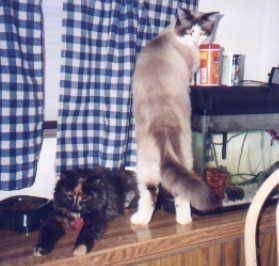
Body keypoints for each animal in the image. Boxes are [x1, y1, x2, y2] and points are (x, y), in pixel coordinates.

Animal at [132, 8, 222, 224]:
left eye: (202, 31)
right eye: (190, 31)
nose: (196, 40)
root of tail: (163, 126)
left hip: (147, 166)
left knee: (155, 192)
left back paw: (146, 221)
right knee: (173, 193)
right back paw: (180, 220)